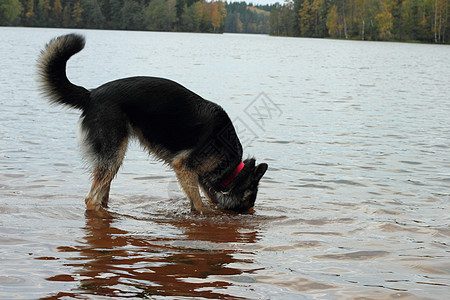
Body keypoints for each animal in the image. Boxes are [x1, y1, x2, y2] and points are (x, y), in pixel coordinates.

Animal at [37, 34, 268, 213]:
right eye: (249, 202)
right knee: (91, 199)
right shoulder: (183, 168)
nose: (250, 213)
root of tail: (91, 94)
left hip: (112, 159)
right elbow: (200, 205)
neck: (232, 169)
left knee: (102, 194)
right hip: (113, 155)